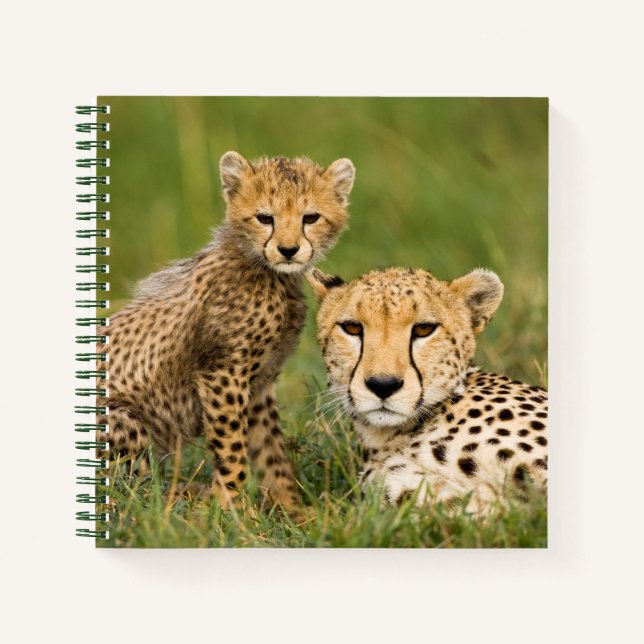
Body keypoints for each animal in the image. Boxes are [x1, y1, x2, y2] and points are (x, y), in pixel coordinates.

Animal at [97, 151, 355, 513]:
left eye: (310, 217)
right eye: (265, 218)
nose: (288, 250)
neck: (266, 271)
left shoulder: (259, 383)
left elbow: (271, 451)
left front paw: (290, 508)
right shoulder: (222, 374)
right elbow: (231, 447)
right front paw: (233, 510)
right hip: (121, 418)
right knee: (132, 496)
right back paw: (185, 500)